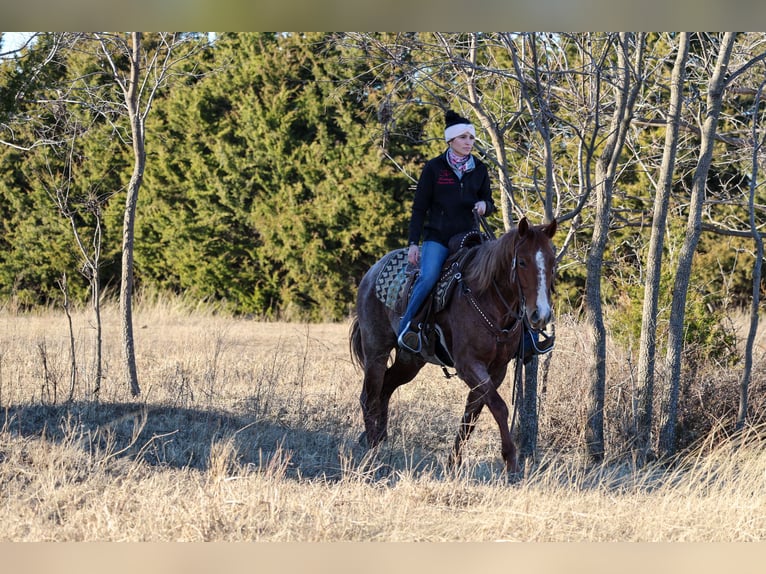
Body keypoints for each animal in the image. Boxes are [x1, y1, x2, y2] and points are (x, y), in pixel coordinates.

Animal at [349, 216, 557, 474]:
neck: (488, 299)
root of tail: (371, 272)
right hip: (376, 351)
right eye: (522, 262)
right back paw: (371, 450)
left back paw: (379, 440)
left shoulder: (496, 370)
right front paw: (511, 462)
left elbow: (472, 414)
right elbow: (498, 407)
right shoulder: (469, 365)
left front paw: (453, 463)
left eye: (552, 261)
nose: (541, 314)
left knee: (385, 389)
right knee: (369, 396)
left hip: (410, 361)